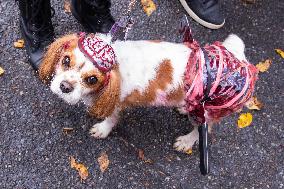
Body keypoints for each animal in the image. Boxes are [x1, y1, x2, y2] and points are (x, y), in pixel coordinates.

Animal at [39, 32, 258, 152]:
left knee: (203, 129)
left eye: (92, 79)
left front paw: (102, 130)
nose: (65, 87)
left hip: (209, 111)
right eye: (66, 60)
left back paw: (186, 141)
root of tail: (238, 58)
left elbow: (111, 119)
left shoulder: (116, 104)